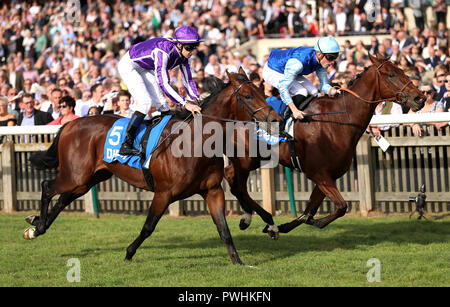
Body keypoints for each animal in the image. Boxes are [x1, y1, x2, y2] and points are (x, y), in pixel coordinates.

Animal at [24, 69, 282, 264]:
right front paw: (129, 253)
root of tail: (70, 124)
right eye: (247, 95)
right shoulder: (164, 192)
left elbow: (224, 230)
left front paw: (238, 261)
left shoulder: (212, 191)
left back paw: (37, 226)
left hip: (89, 179)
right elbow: (148, 226)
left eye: (262, 91)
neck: (194, 142)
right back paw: (37, 225)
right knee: (47, 186)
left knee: (62, 199)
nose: (276, 118)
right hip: (76, 176)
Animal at [225, 54, 426, 237]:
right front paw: (311, 223)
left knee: (232, 179)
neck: (338, 120)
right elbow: (341, 206)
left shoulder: (328, 176)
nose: (420, 98)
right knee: (236, 184)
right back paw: (252, 218)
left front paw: (285, 226)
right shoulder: (318, 174)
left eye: (403, 71)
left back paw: (251, 218)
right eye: (391, 74)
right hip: (246, 159)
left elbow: (310, 211)